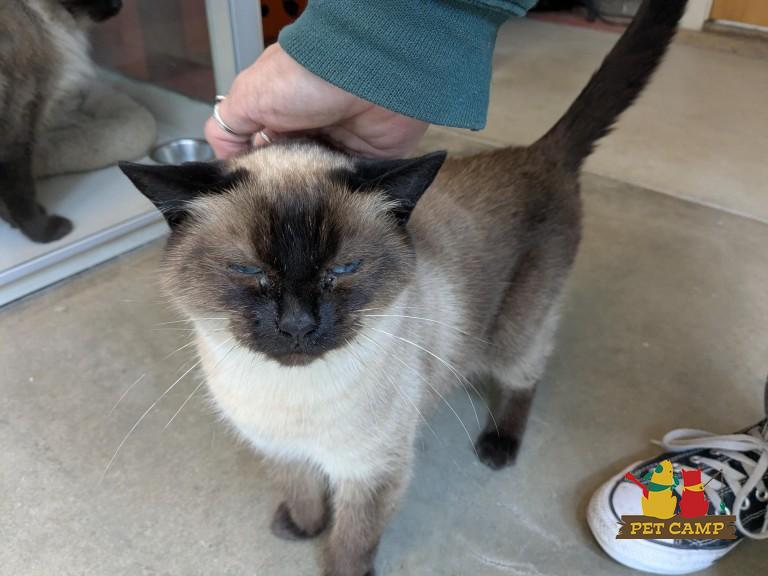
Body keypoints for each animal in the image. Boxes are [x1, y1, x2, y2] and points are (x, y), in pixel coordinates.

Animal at [121, 1, 689, 574]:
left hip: (516, 331)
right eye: (247, 272)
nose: (298, 324)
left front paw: (336, 560)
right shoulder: (282, 451)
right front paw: (299, 528)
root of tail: (536, 152)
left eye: (344, 269)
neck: (292, 400)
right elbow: (303, 494)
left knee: (525, 377)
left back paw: (498, 446)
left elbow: (350, 543)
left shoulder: (371, 471)